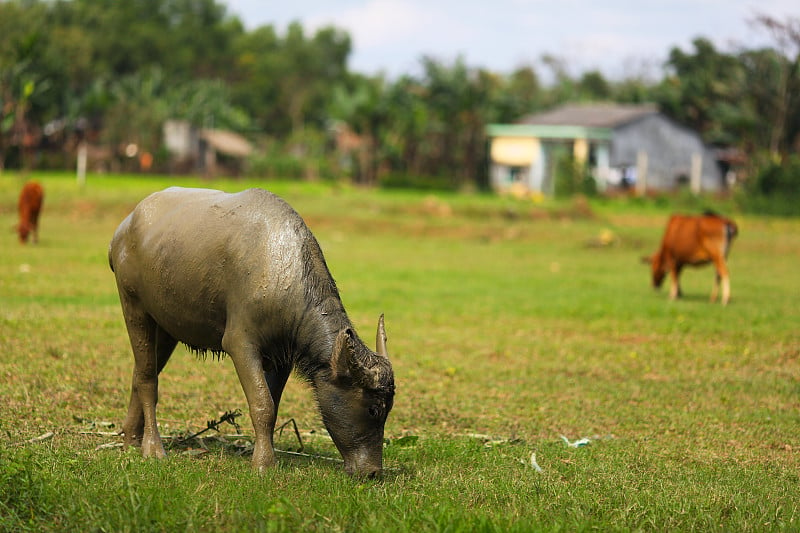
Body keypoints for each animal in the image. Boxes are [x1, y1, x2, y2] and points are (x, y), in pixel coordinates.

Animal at [108, 186, 396, 474]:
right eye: (373, 410)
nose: (372, 471)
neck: (283, 275)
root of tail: (122, 231)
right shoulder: (240, 344)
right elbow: (262, 404)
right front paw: (263, 464)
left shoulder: (283, 357)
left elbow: (273, 405)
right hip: (133, 305)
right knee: (148, 378)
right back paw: (152, 447)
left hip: (167, 326)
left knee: (139, 373)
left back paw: (130, 440)